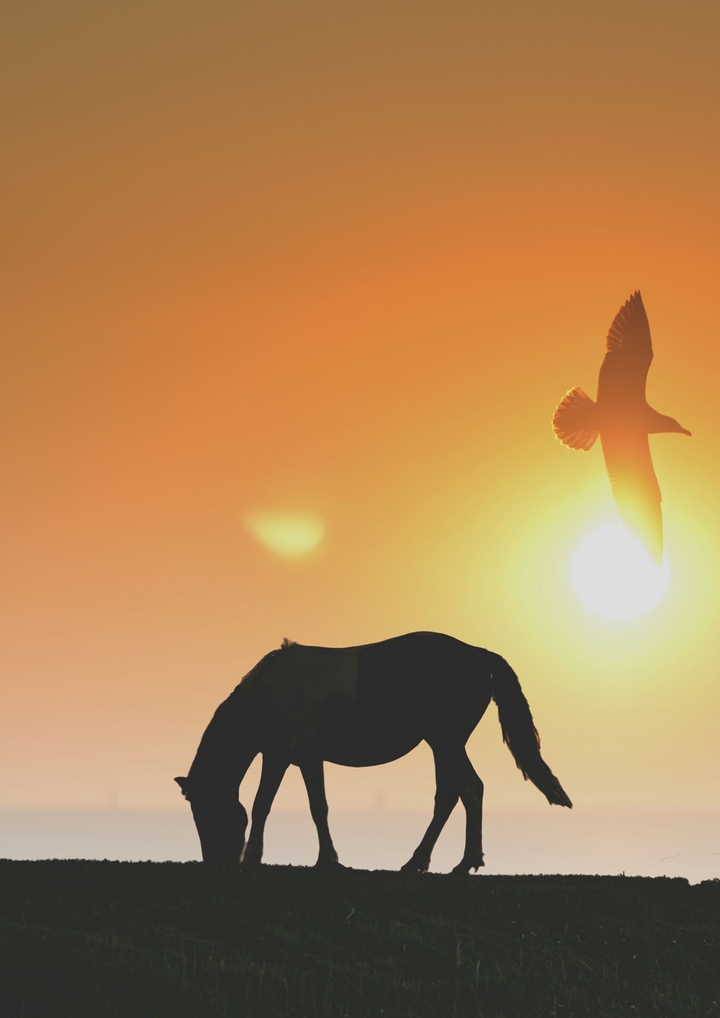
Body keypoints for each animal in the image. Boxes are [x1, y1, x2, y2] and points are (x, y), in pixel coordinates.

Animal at [175, 631, 572, 874]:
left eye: (205, 813)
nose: (216, 862)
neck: (266, 693)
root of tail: (479, 655)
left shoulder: (280, 756)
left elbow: (266, 805)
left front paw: (256, 859)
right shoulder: (306, 759)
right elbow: (314, 807)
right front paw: (327, 860)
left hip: (445, 741)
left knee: (470, 789)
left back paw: (464, 863)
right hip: (442, 744)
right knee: (449, 794)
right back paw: (417, 862)